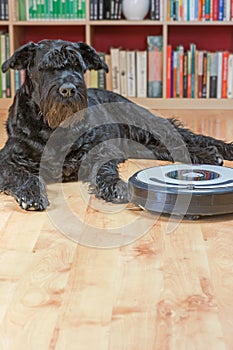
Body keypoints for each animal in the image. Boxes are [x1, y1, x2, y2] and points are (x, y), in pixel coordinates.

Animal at [0, 39, 232, 212]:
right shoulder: (8, 158)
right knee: (166, 149)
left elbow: (104, 170)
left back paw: (216, 152)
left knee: (188, 137)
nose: (68, 89)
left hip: (146, 124)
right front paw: (31, 193)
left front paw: (116, 187)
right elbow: (20, 174)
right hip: (138, 144)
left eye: (77, 66)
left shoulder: (99, 151)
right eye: (45, 68)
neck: (53, 127)